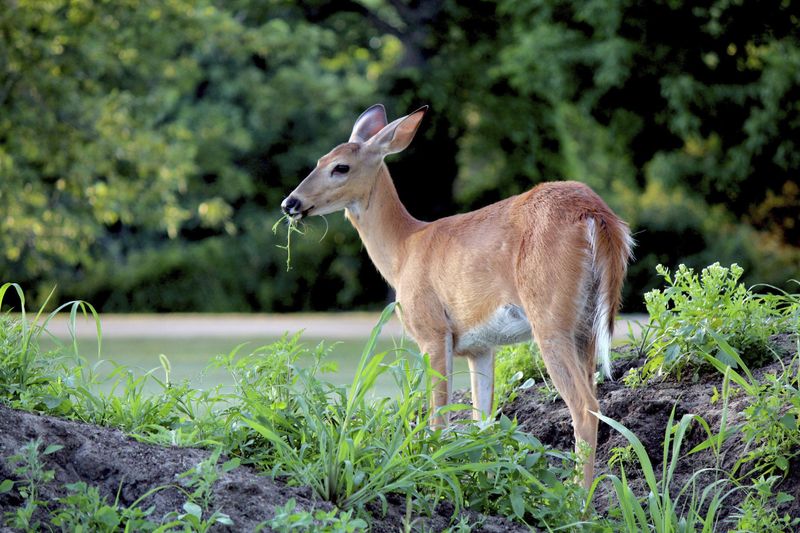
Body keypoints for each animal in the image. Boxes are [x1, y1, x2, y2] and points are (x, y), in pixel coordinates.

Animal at [281, 104, 632, 488]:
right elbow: (483, 421)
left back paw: (576, 496)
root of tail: (596, 214)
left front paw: (430, 471)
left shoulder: (433, 330)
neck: (403, 251)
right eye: (319, 159)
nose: (290, 202)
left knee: (584, 406)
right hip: (586, 322)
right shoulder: (481, 347)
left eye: (340, 167)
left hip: (550, 315)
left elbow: (439, 416)